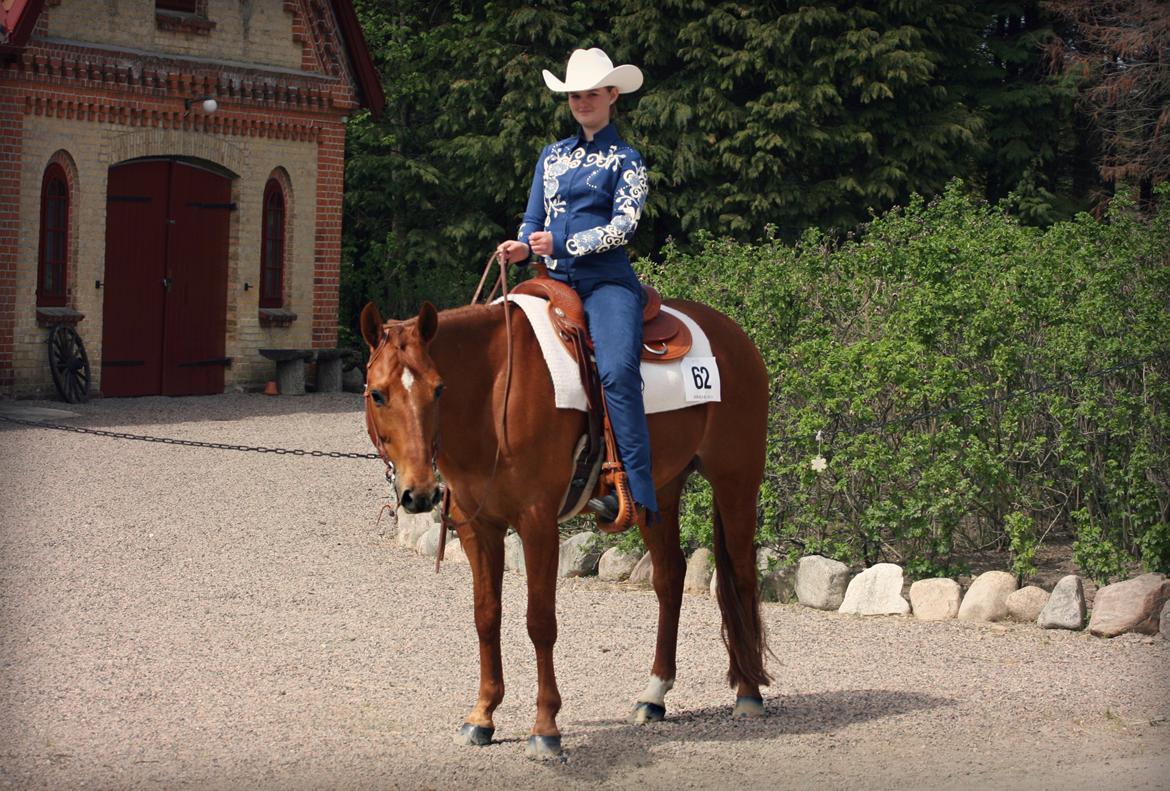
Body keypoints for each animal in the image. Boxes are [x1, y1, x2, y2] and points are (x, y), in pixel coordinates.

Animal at [360, 293, 772, 758]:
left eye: (438, 388)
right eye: (378, 394)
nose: (421, 493)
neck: (493, 393)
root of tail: (733, 334)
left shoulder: (538, 523)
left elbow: (540, 623)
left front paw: (545, 727)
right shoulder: (477, 527)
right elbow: (486, 616)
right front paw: (482, 715)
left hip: (736, 479)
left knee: (742, 575)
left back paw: (749, 692)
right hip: (660, 491)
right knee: (670, 577)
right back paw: (654, 696)